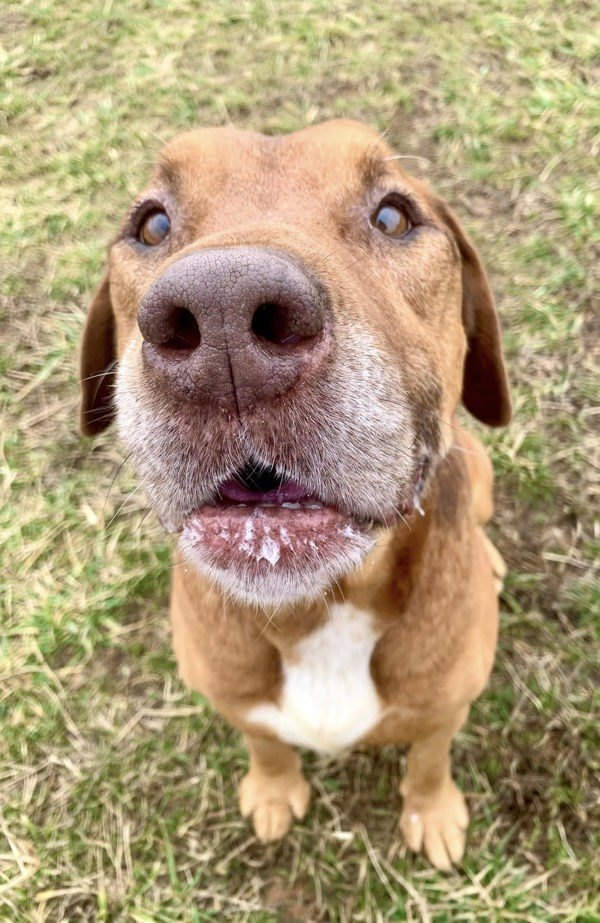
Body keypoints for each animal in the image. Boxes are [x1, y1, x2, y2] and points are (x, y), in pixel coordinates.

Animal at [79, 122, 510, 872]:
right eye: (152, 223)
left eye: (393, 215)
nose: (223, 314)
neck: (321, 608)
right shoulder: (234, 698)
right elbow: (265, 740)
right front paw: (275, 789)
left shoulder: (446, 707)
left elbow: (428, 757)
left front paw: (432, 812)